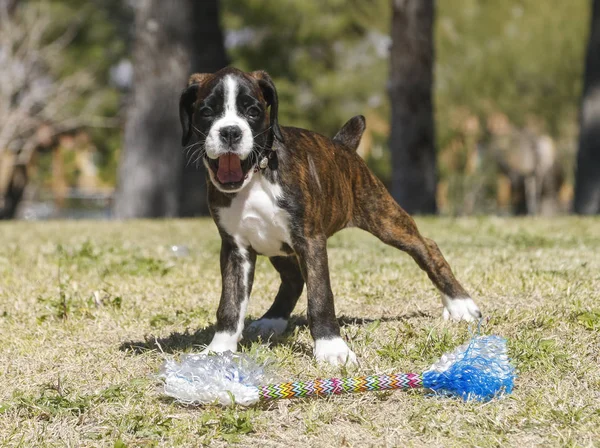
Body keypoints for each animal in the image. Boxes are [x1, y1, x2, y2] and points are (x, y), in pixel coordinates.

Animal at [179, 68, 482, 366]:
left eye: (252, 111)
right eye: (207, 112)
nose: (230, 131)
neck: (257, 175)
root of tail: (341, 146)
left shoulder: (310, 241)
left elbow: (320, 295)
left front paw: (331, 347)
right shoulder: (235, 249)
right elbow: (229, 304)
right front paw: (218, 350)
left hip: (385, 218)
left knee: (427, 247)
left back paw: (460, 304)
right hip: (277, 246)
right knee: (293, 279)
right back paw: (271, 320)